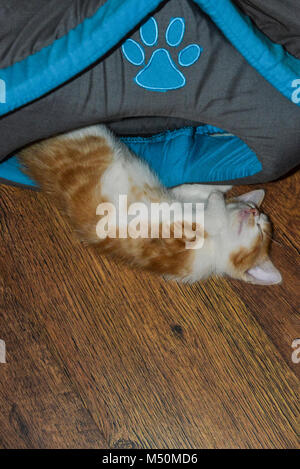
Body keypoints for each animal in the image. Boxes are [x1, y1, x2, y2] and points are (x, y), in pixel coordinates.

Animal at [18, 124, 282, 284]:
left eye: (261, 231)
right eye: (259, 222)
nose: (252, 211)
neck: (213, 244)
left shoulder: (168, 244)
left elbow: (206, 212)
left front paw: (217, 197)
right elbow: (190, 189)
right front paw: (223, 185)